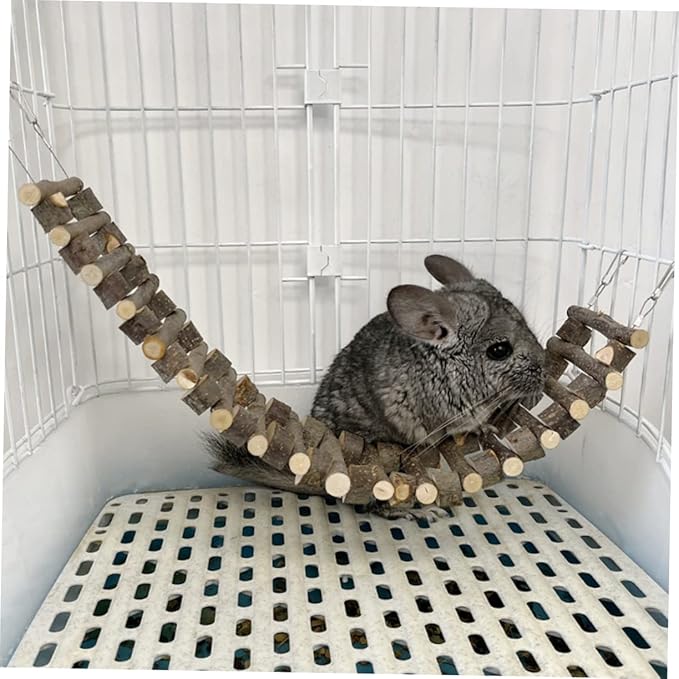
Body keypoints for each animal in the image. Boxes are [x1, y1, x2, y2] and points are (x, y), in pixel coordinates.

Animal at [205, 254, 545, 507]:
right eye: (500, 350)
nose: (544, 373)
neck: (445, 363)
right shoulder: (446, 412)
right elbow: (468, 424)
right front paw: (486, 426)